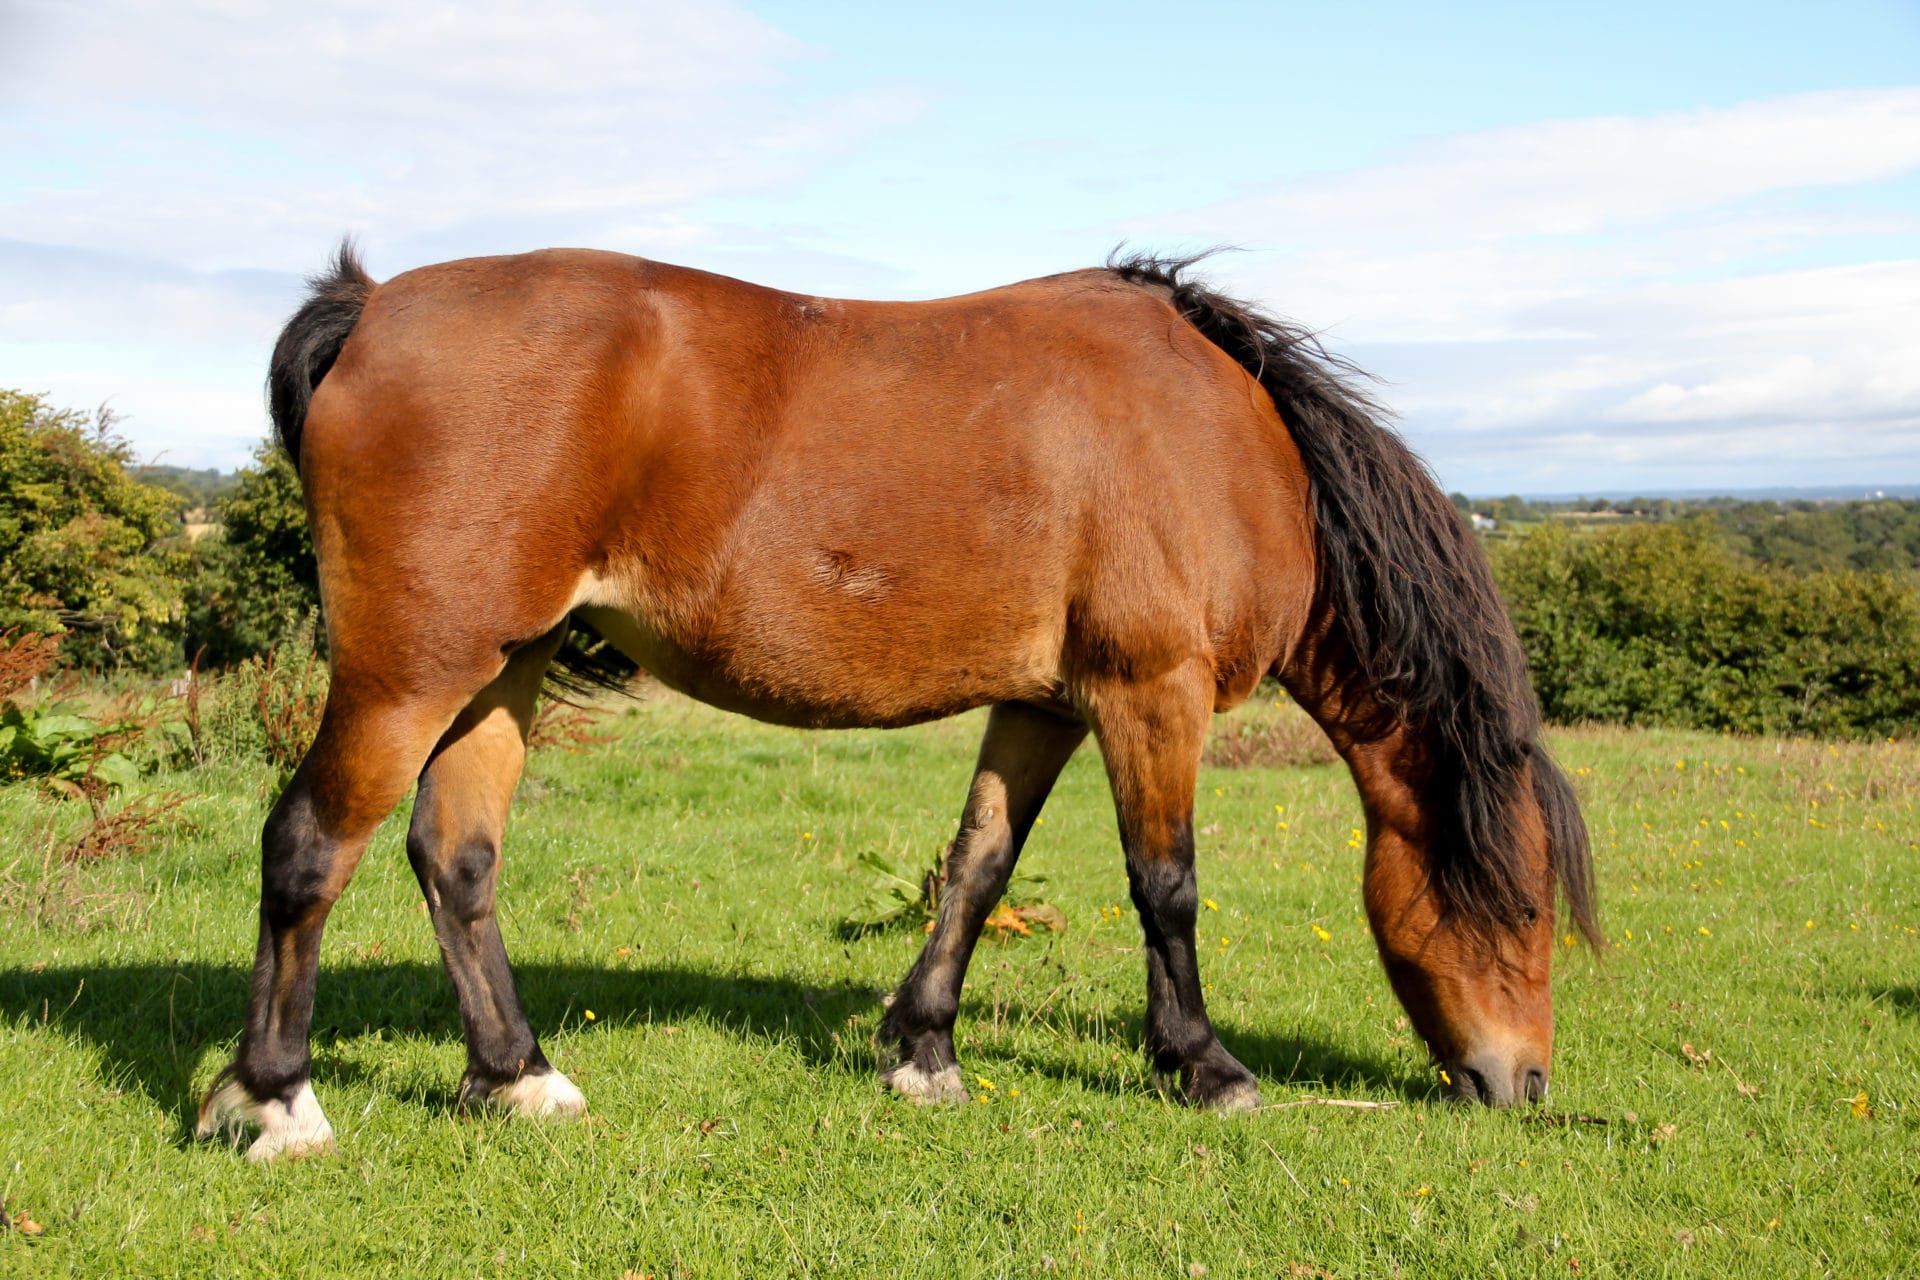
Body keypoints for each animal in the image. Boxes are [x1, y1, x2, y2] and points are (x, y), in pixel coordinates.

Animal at [194, 239, 1597, 1159]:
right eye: (1524, 903)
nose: (1525, 1082)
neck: (1230, 443)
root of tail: (369, 305)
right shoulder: (1153, 692)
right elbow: (1168, 885)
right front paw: (1201, 1064)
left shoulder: (1047, 704)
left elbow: (977, 867)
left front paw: (922, 1049)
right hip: (409, 671)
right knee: (309, 845)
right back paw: (274, 1096)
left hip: (507, 664)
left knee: (457, 854)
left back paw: (515, 1075)